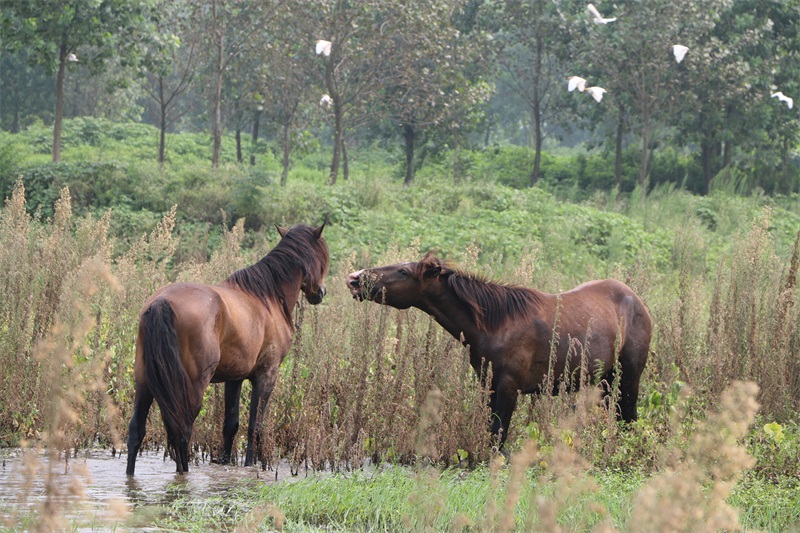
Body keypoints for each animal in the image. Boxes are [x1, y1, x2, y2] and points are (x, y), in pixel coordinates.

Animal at [126, 221, 326, 474]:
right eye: (322, 255)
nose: (320, 292)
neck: (267, 297)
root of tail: (162, 302)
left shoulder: (234, 378)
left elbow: (230, 425)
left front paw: (225, 462)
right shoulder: (266, 375)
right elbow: (254, 427)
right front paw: (250, 465)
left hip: (144, 381)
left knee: (136, 430)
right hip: (191, 387)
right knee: (183, 432)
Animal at [348, 256, 648, 446]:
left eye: (403, 272)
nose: (354, 278)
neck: (492, 324)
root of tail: (639, 302)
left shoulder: (508, 386)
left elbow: (498, 435)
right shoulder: (489, 384)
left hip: (629, 377)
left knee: (629, 418)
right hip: (606, 381)